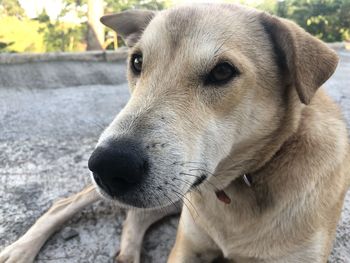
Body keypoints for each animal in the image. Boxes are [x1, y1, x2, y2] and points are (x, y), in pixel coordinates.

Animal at [0, 4, 350, 263]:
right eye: (137, 62)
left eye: (222, 71)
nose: (109, 166)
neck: (244, 183)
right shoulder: (187, 245)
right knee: (63, 205)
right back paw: (19, 250)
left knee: (135, 217)